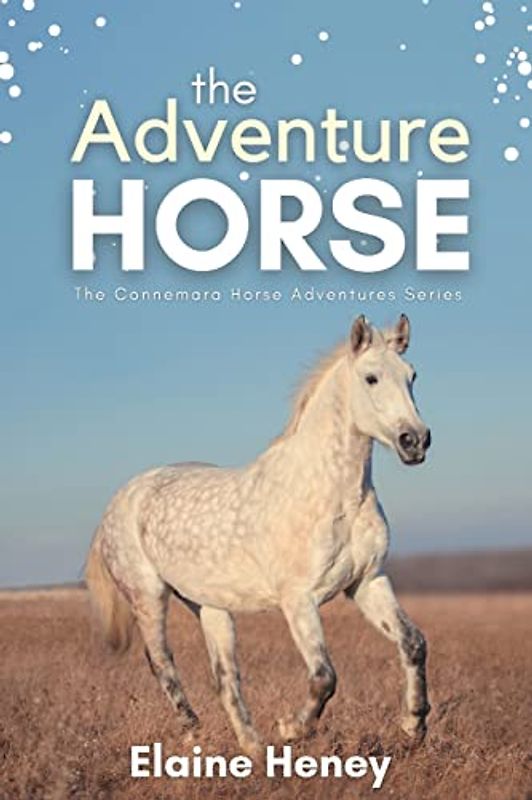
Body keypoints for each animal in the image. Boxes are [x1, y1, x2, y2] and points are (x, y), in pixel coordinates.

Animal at [86, 314, 431, 756]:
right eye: (371, 378)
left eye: (412, 375)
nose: (415, 441)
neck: (334, 495)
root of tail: (121, 499)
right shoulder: (298, 599)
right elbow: (324, 675)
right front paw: (291, 728)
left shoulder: (367, 582)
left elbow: (413, 643)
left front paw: (413, 725)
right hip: (147, 597)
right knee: (162, 663)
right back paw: (196, 732)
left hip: (209, 606)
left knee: (225, 678)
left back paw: (253, 749)